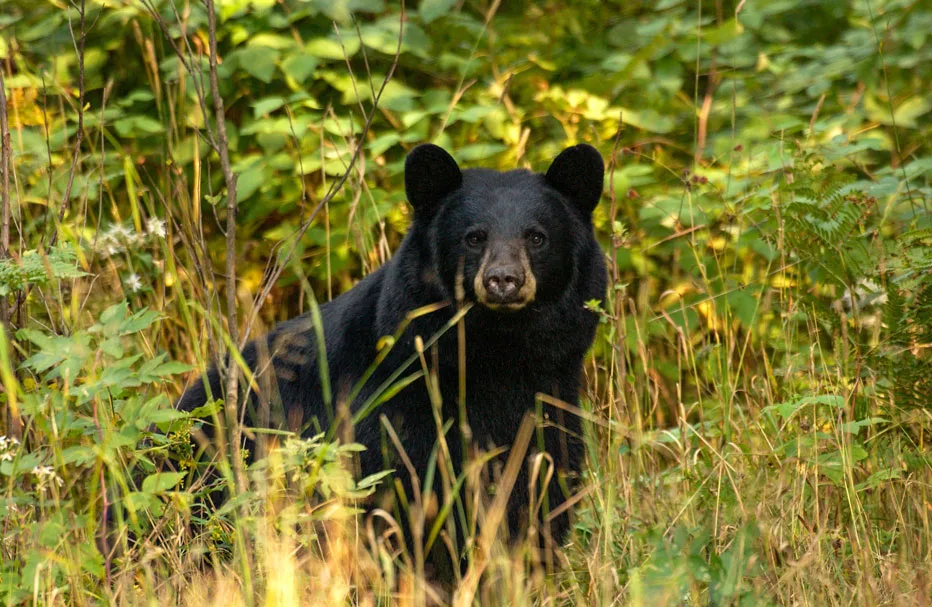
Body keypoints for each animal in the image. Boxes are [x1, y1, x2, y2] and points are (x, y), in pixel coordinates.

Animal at [177, 142, 607, 565]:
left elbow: (541, 486)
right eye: (474, 237)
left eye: (537, 237)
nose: (503, 280)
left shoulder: (549, 395)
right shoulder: (393, 409)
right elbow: (402, 496)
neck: (497, 352)